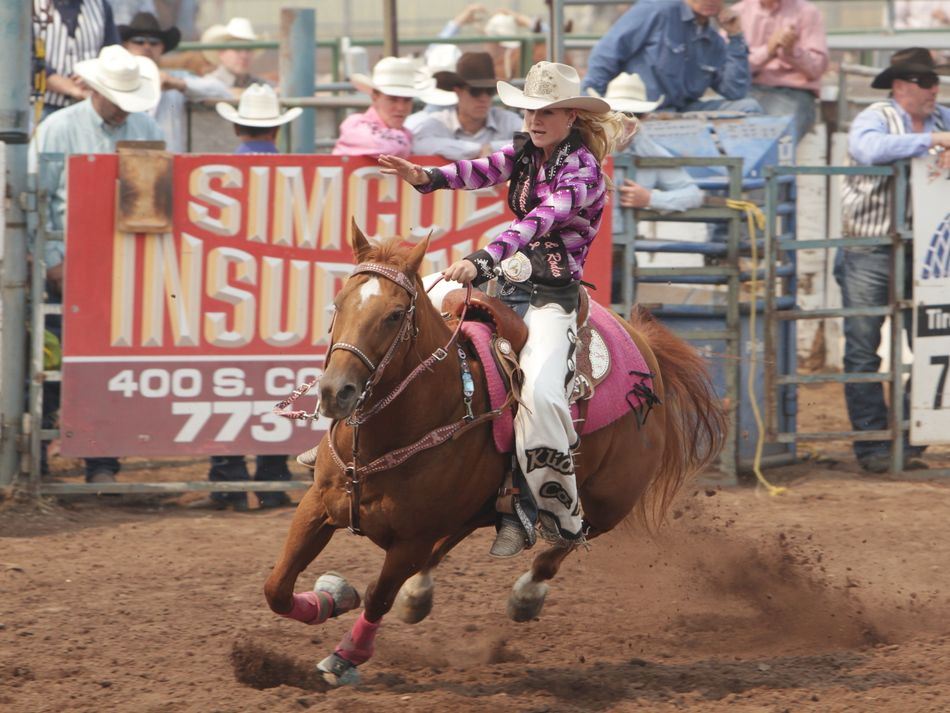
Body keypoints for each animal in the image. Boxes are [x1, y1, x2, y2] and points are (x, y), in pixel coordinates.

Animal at [263, 222, 726, 686]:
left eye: (395, 314)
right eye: (339, 304)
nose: (334, 392)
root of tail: (645, 347)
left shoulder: (411, 540)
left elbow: (378, 596)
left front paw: (346, 656)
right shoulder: (317, 506)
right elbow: (277, 588)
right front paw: (332, 597)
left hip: (611, 500)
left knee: (569, 539)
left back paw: (526, 595)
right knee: (455, 542)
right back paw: (420, 593)